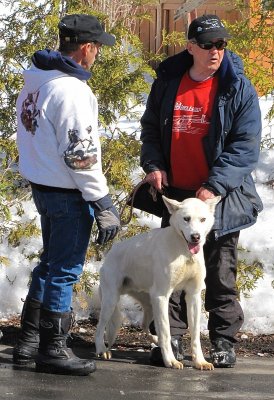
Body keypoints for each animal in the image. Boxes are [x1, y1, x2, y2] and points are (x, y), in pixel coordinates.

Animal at [95, 195, 219, 370]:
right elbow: (166, 332)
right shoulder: (162, 296)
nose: (196, 237)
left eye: (203, 219)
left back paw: (155, 340)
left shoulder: (193, 296)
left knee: (144, 325)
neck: (184, 253)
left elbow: (194, 335)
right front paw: (170, 361)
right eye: (186, 219)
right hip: (111, 301)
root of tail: (111, 251)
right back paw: (101, 349)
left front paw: (200, 361)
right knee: (99, 328)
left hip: (149, 304)